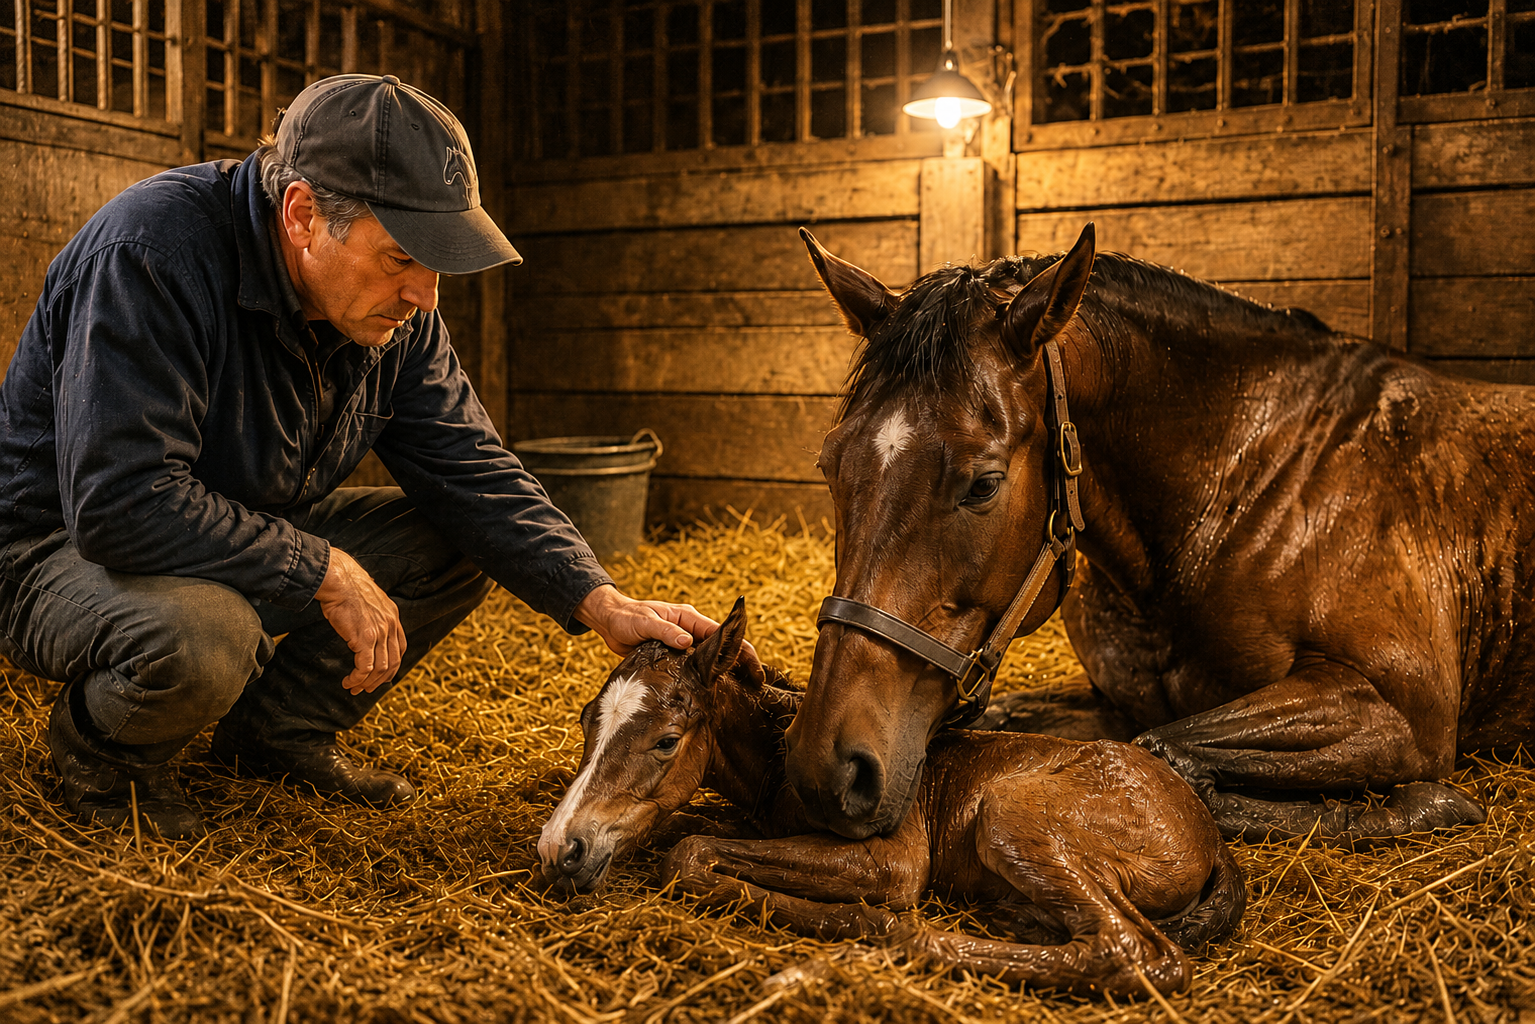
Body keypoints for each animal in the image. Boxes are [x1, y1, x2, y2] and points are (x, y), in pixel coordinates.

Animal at [536, 598, 1246, 998]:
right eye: (586, 721)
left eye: (666, 740)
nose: (558, 848)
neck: (782, 756)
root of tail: (1207, 830)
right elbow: (688, 832)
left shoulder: (894, 860)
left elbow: (687, 854)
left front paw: (866, 922)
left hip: (1012, 816)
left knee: (1133, 953)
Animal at [783, 223, 1517, 847]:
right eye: (829, 463)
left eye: (983, 484)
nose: (824, 769)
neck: (1242, 482)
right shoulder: (1114, 700)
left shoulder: (1397, 709)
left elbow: (1162, 750)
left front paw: (1423, 805)